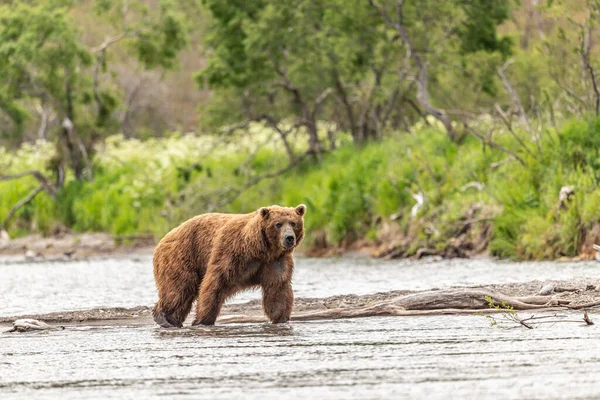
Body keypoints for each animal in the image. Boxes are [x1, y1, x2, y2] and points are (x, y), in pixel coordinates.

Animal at [152, 205, 308, 326]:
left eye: (293, 223)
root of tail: (165, 237)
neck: (259, 249)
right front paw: (202, 320)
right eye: (278, 224)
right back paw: (164, 318)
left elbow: (278, 289)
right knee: (178, 289)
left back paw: (173, 320)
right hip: (182, 256)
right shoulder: (231, 252)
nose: (289, 238)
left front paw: (281, 318)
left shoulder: (275, 261)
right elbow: (214, 283)